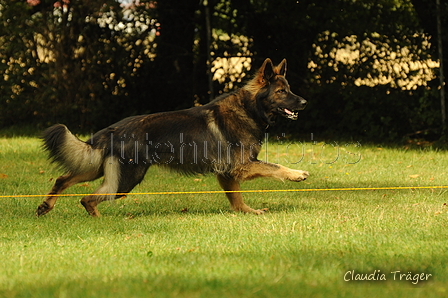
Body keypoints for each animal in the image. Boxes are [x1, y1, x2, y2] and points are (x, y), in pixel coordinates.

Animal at [36, 58, 308, 217]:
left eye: (289, 89)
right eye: (281, 91)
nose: (304, 102)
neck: (250, 107)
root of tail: (113, 130)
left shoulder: (227, 173)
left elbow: (237, 198)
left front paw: (247, 212)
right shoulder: (241, 167)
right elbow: (274, 167)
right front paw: (296, 174)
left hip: (99, 170)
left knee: (64, 179)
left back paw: (46, 206)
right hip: (126, 180)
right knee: (88, 198)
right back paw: (100, 221)